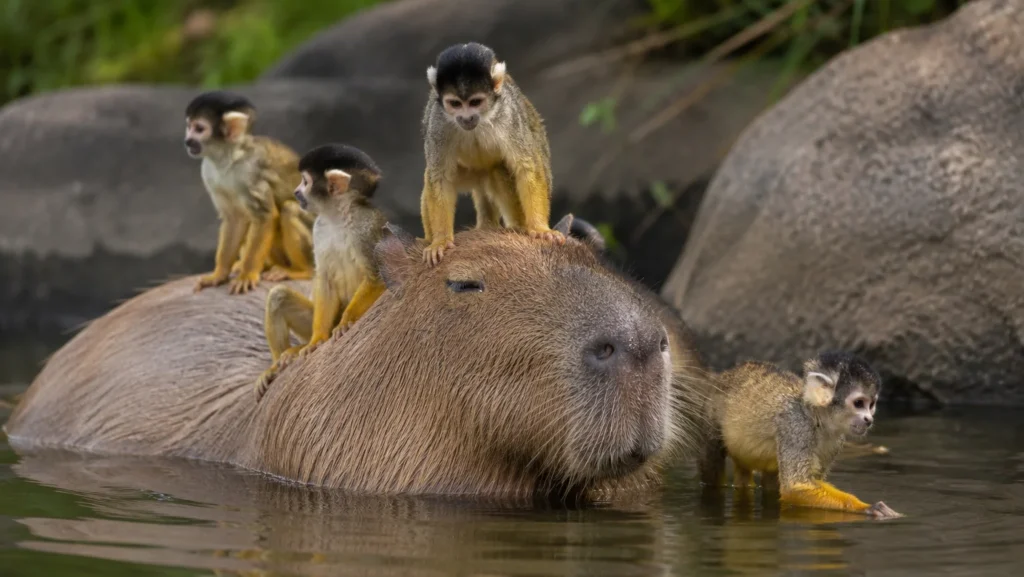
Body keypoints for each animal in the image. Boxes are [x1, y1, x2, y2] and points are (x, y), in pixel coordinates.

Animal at [184, 90, 315, 295]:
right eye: (189, 126)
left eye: (199, 128)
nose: (188, 140)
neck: (227, 157)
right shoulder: (208, 173)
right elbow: (235, 219)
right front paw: (219, 274)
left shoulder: (252, 170)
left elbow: (265, 216)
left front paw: (246, 274)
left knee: (289, 209)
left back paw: (304, 271)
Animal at [253, 143, 389, 401]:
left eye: (305, 182)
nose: (296, 191)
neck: (338, 217)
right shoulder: (319, 228)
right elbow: (324, 280)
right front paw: (317, 340)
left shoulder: (366, 226)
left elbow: (378, 276)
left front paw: (347, 321)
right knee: (278, 296)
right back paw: (280, 362)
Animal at [419, 42, 564, 266]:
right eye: (455, 104)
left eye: (475, 102)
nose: (466, 118)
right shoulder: (439, 121)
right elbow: (439, 177)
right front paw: (440, 241)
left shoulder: (508, 114)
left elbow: (527, 167)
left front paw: (540, 229)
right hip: (468, 174)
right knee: (432, 177)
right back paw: (428, 239)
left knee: (499, 169)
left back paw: (518, 226)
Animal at [699, 351, 902, 519]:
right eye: (859, 403)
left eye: (871, 405)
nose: (868, 419)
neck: (815, 417)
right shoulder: (796, 426)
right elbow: (795, 487)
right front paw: (865, 507)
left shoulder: (836, 440)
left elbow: (811, 481)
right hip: (710, 408)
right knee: (712, 462)